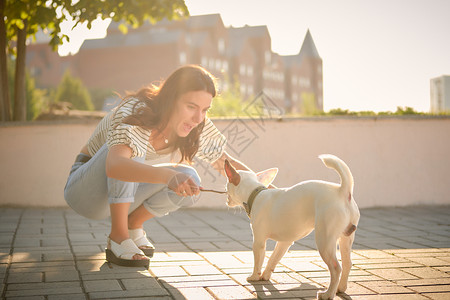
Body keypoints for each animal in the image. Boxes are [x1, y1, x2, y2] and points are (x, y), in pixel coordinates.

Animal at [224, 155, 358, 300]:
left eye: (227, 185)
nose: (226, 199)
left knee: (336, 267)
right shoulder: (285, 242)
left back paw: (328, 294)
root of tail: (343, 191)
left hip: (325, 241)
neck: (255, 194)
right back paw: (340, 288)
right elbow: (273, 259)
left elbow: (258, 261)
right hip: (346, 238)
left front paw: (255, 277)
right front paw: (265, 276)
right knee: (347, 263)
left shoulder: (258, 242)